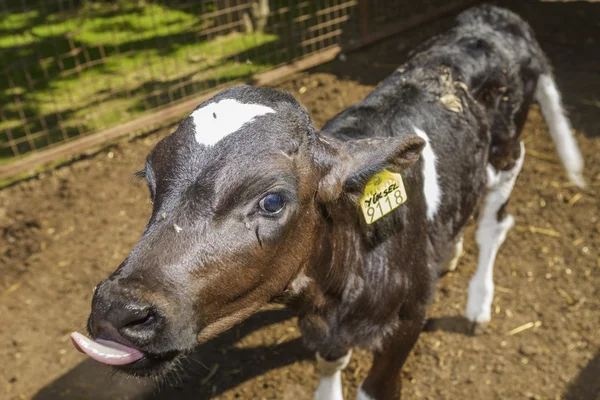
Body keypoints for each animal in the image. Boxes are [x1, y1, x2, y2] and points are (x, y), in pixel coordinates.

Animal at [71, 3, 584, 400]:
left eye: (272, 201)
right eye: (149, 182)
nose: (118, 309)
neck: (332, 288)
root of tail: (497, 15)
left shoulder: (408, 319)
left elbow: (376, 386)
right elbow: (330, 358)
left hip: (507, 151)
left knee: (495, 222)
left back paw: (478, 303)